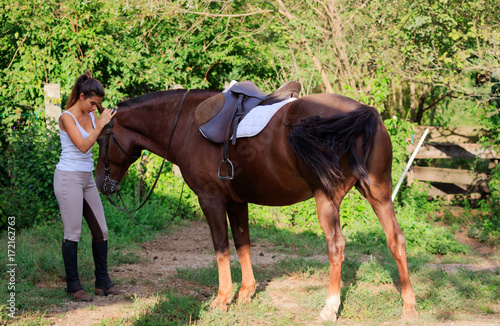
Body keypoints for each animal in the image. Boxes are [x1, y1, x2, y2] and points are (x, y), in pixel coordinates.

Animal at [94, 88, 418, 322]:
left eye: (101, 140)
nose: (100, 182)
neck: (186, 124)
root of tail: (364, 113)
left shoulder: (210, 199)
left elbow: (221, 246)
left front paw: (222, 298)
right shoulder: (237, 202)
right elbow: (243, 243)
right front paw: (246, 293)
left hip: (327, 198)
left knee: (336, 246)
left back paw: (329, 308)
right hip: (379, 194)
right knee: (396, 240)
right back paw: (409, 307)